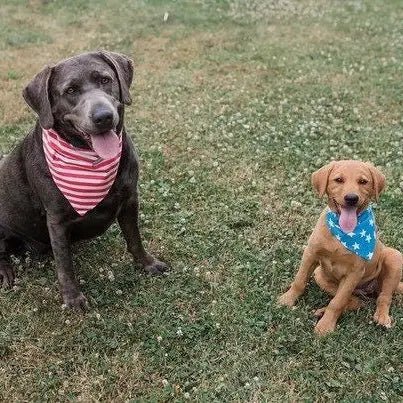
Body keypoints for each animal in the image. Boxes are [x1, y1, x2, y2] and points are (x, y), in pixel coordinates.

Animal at [0, 50, 167, 310]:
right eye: (70, 90)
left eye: (105, 80)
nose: (103, 116)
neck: (90, 160)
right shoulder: (56, 221)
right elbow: (65, 265)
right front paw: (73, 297)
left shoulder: (130, 199)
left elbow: (134, 239)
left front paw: (147, 263)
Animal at [280, 159, 402, 336]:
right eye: (338, 180)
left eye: (363, 181)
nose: (351, 198)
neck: (343, 233)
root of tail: (367, 290)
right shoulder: (310, 254)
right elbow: (299, 280)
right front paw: (287, 299)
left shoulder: (354, 273)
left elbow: (337, 302)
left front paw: (325, 326)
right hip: (320, 275)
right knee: (355, 301)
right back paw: (322, 311)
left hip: (394, 257)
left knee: (383, 297)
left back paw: (382, 317)